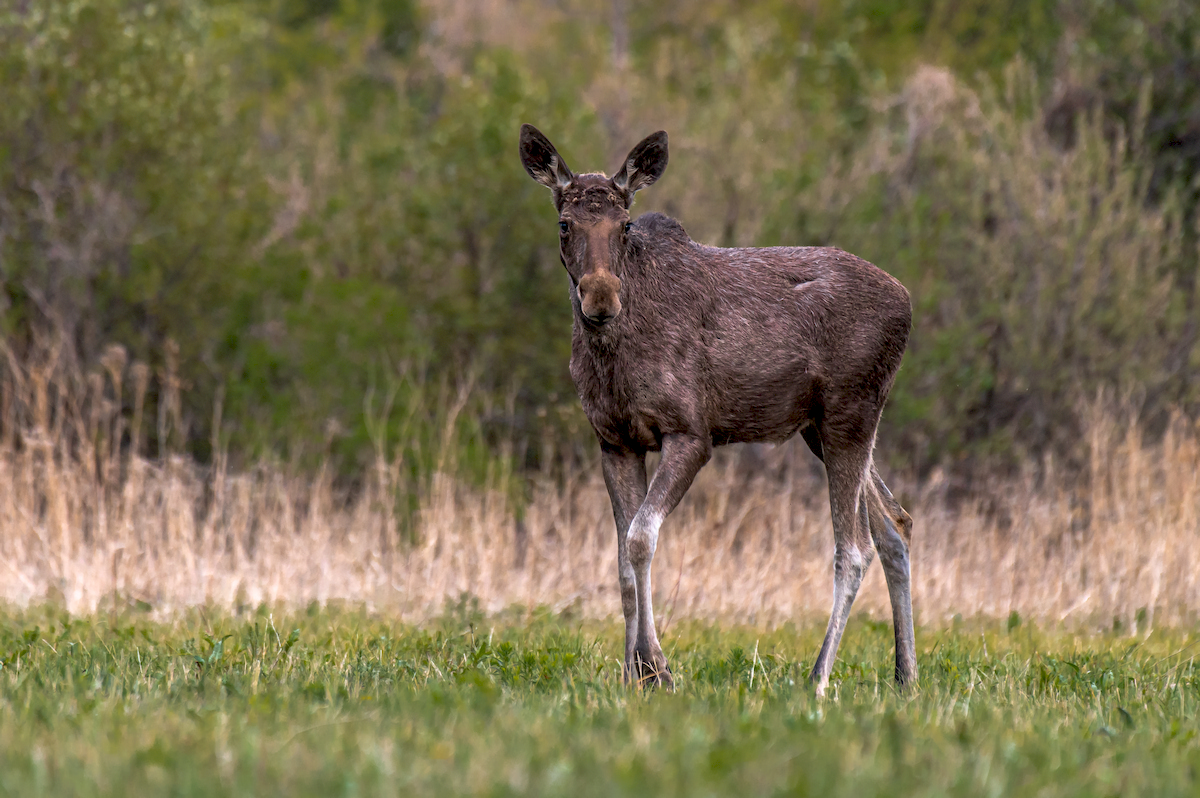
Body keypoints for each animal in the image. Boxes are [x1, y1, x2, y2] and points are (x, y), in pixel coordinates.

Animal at [518, 123, 916, 691]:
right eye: (564, 223)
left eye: (625, 224)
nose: (600, 300)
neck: (612, 359)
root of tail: (907, 302)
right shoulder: (613, 440)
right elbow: (621, 561)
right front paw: (633, 673)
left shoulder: (691, 433)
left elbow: (640, 539)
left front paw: (656, 668)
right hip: (820, 427)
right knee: (895, 524)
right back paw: (906, 674)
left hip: (851, 412)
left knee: (855, 547)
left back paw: (819, 678)